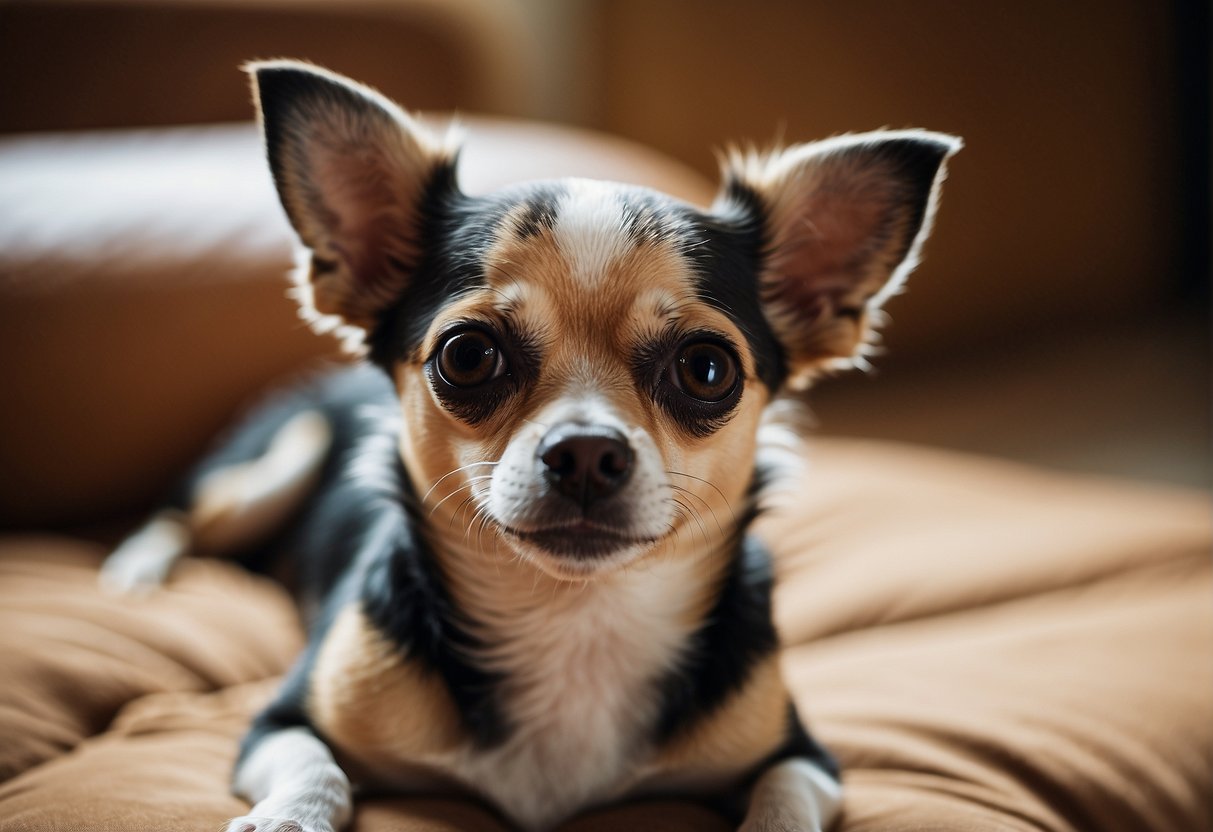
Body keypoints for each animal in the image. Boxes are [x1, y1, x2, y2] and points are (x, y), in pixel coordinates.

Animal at [101, 60, 955, 832]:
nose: (585, 452)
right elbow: (319, 772)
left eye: (706, 369)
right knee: (179, 517)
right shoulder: (276, 724)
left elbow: (783, 803)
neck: (573, 625)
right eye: (467, 356)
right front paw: (287, 820)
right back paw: (138, 573)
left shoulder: (804, 757)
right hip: (276, 462)